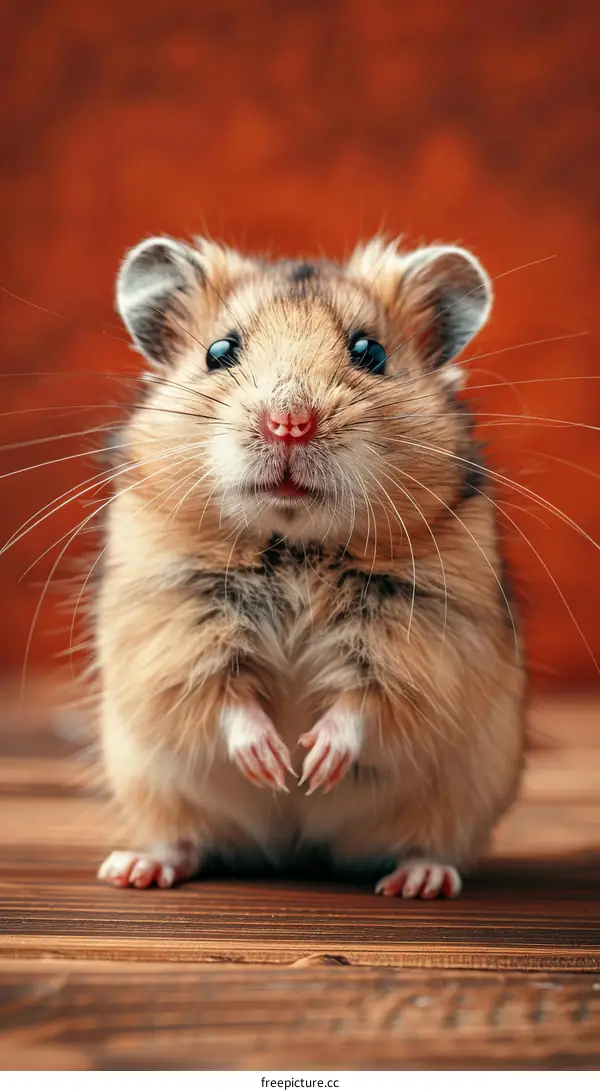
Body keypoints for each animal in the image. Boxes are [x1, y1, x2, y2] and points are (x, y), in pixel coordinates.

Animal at [96, 235, 525, 899]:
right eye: (219, 352)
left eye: (370, 352)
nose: (290, 424)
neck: (296, 544)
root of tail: (297, 854)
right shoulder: (176, 617)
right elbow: (223, 696)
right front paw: (274, 765)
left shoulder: (423, 630)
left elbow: (365, 700)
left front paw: (314, 766)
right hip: (149, 782)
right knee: (184, 838)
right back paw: (136, 869)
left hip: (467, 791)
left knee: (431, 842)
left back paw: (419, 881)